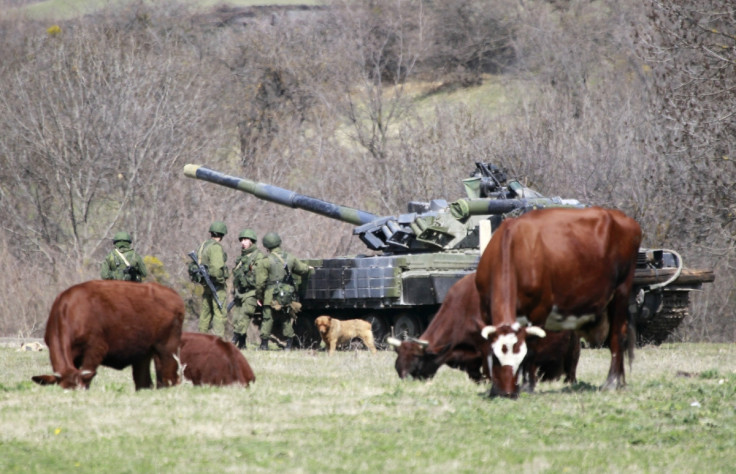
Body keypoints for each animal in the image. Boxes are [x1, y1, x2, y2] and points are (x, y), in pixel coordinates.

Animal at [32, 282, 184, 388]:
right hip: (144, 354)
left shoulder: (95, 350)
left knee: (170, 379)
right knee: (145, 383)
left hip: (167, 351)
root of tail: (174, 295)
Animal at [388, 272, 584, 386]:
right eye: (397, 366)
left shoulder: (487, 348)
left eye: (416, 361)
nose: (404, 381)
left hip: (573, 349)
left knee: (571, 368)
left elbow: (489, 371)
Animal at [478, 207, 640, 396]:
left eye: (518, 359)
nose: (506, 392)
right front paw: (494, 388)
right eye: (496, 358)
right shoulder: (485, 310)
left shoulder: (539, 311)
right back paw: (621, 381)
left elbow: (531, 349)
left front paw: (527, 386)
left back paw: (612, 381)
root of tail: (625, 219)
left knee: (617, 335)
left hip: (622, 290)